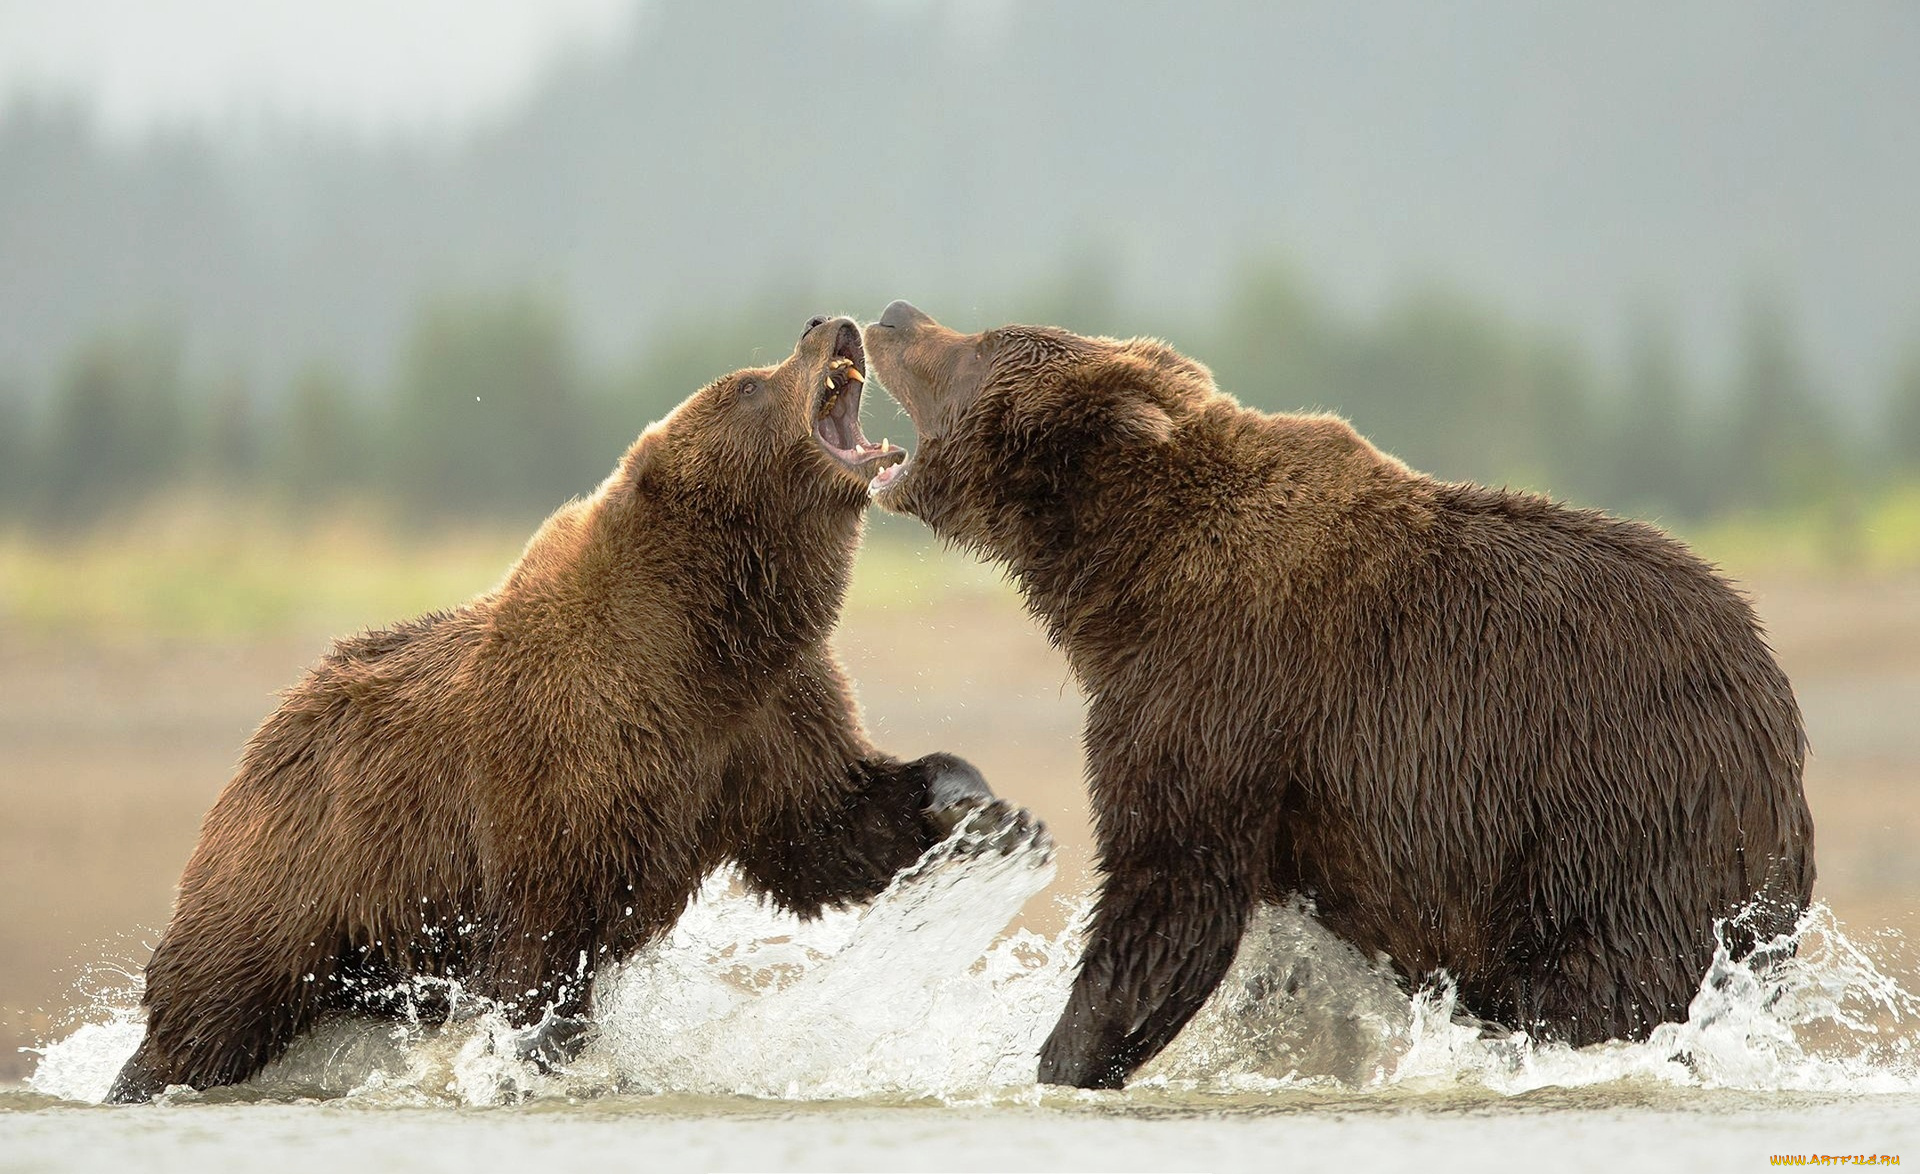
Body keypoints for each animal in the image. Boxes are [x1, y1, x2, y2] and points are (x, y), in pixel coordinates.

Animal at [103, 315, 1036, 1099]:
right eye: (746, 384)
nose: (829, 323)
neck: (709, 629)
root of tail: (267, 728)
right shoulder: (572, 742)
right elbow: (545, 937)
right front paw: (540, 1052)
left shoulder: (767, 714)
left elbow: (826, 827)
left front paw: (981, 807)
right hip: (300, 869)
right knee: (212, 1004)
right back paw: (141, 1077)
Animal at [864, 297, 1804, 1091]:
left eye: (981, 343)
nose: (893, 315)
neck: (1127, 577)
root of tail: (1775, 717)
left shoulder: (1221, 686)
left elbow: (1172, 885)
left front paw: (1060, 1058)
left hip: (1619, 823)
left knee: (1601, 990)